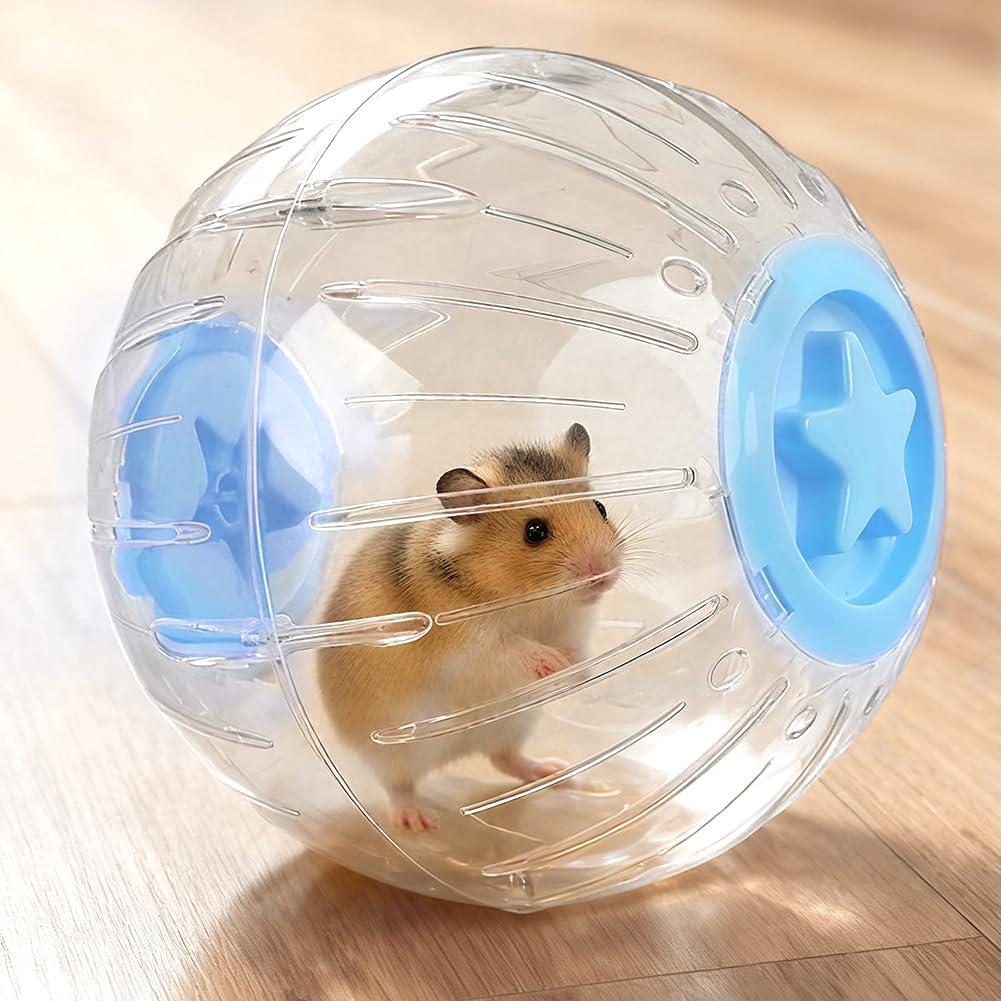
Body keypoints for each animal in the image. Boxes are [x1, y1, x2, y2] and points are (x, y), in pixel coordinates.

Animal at [317, 423, 625, 832]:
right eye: (535, 531)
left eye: (600, 507)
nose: (603, 573)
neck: (534, 603)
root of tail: (455, 756)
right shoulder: (471, 645)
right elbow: (516, 648)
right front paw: (554, 664)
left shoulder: (574, 625)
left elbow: (577, 648)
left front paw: (579, 673)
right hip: (392, 751)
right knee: (398, 785)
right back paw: (419, 821)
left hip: (513, 725)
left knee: (504, 759)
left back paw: (555, 772)